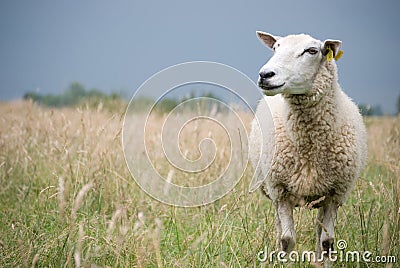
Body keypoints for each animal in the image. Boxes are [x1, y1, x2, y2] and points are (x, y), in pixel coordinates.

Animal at [248, 31, 368, 258]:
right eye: (276, 47)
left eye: (311, 51)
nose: (265, 75)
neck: (310, 147)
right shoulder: (281, 191)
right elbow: (286, 240)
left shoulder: (335, 194)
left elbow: (327, 242)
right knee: (279, 228)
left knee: (319, 232)